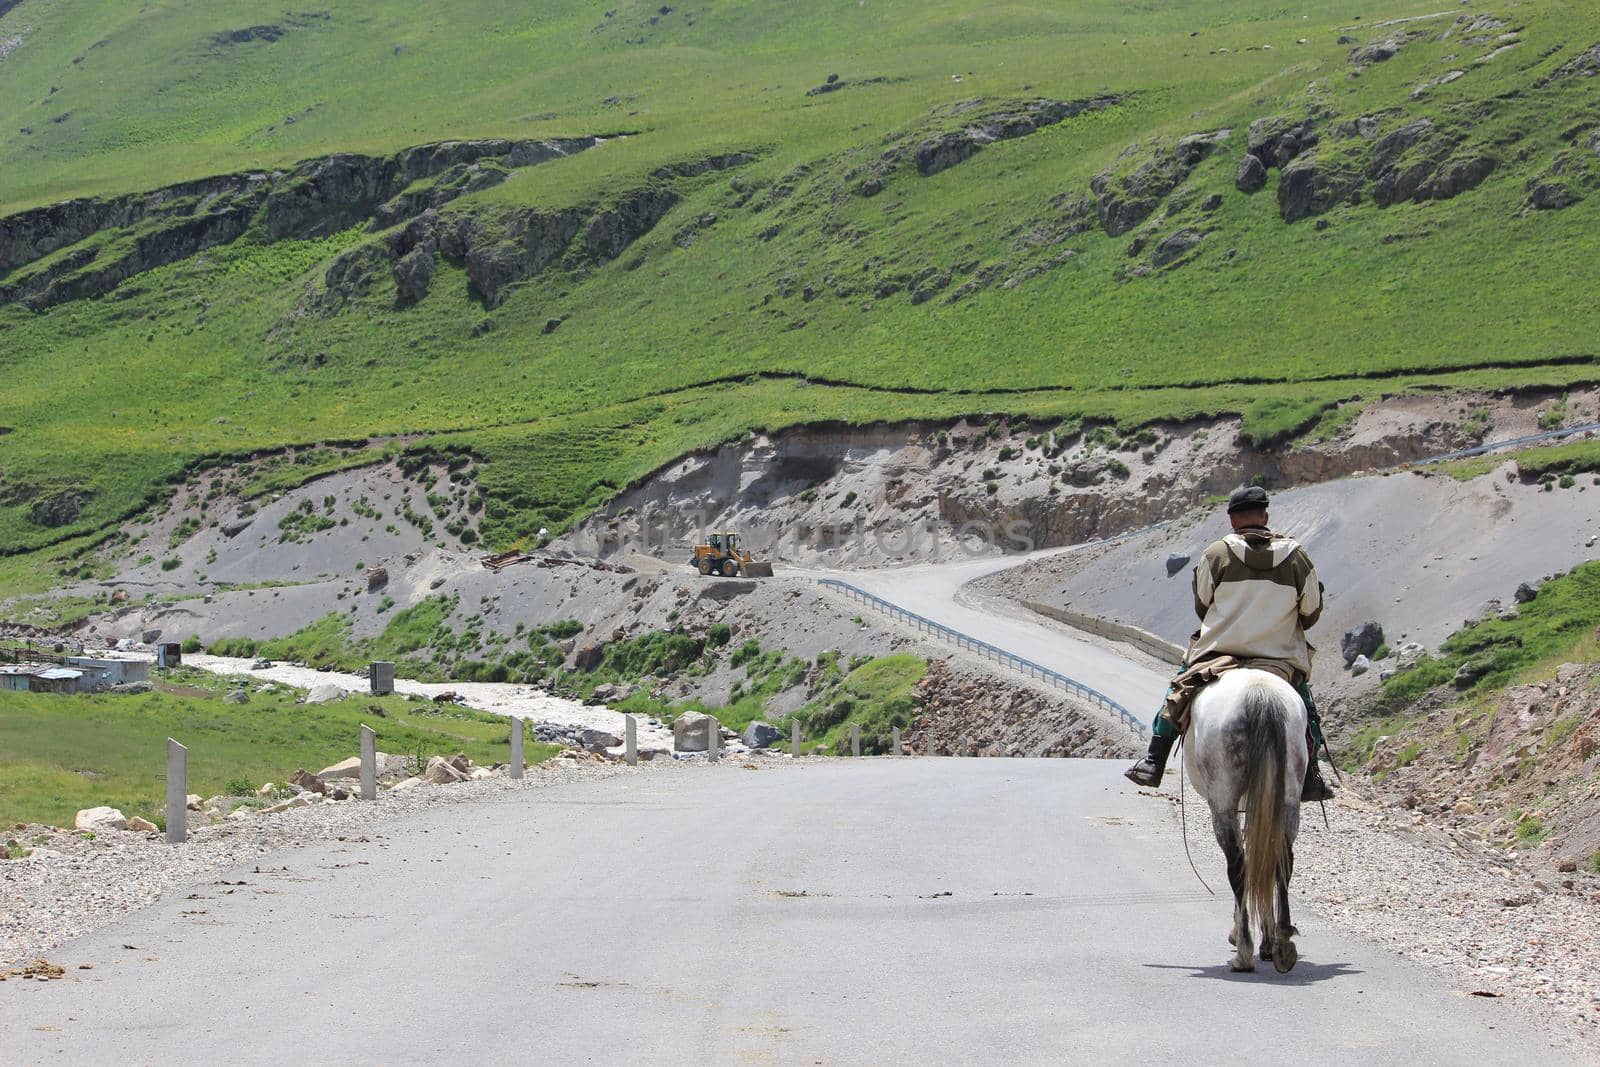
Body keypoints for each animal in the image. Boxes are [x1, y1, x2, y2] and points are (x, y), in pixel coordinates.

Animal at [1184, 668, 1305, 979]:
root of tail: (1260, 693)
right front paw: (1268, 941)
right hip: (1288, 796)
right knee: (1280, 860)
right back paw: (1282, 943)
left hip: (1223, 801)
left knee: (1237, 865)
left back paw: (1244, 952)